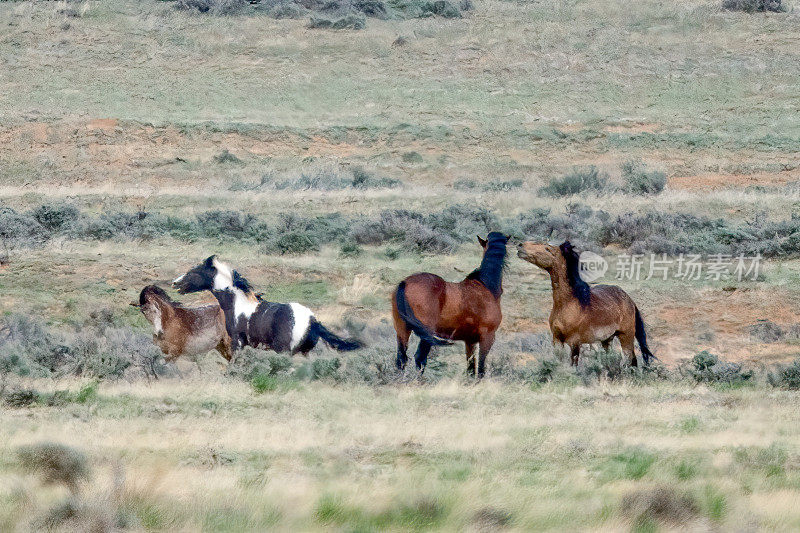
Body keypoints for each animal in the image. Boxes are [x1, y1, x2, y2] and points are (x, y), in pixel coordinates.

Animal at [174, 256, 362, 356]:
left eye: (194, 272)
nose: (175, 283)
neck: (238, 304)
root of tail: (312, 320)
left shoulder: (238, 342)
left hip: (285, 351)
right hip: (305, 353)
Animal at [390, 231, 510, 376]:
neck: (486, 286)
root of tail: (405, 283)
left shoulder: (470, 341)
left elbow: (471, 368)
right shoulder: (487, 338)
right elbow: (480, 368)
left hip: (402, 329)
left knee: (401, 359)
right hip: (426, 333)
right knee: (420, 358)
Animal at [516, 240, 652, 366]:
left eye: (547, 249)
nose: (520, 246)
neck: (568, 304)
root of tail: (629, 300)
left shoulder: (575, 343)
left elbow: (574, 366)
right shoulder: (557, 340)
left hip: (626, 336)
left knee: (632, 360)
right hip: (607, 340)